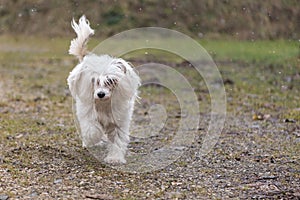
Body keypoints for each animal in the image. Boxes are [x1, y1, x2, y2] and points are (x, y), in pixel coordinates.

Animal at [67, 14, 140, 163]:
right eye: (94, 80)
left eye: (110, 81)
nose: (101, 94)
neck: (104, 105)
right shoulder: (89, 115)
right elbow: (92, 129)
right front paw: (94, 139)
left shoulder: (119, 122)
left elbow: (117, 140)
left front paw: (115, 158)